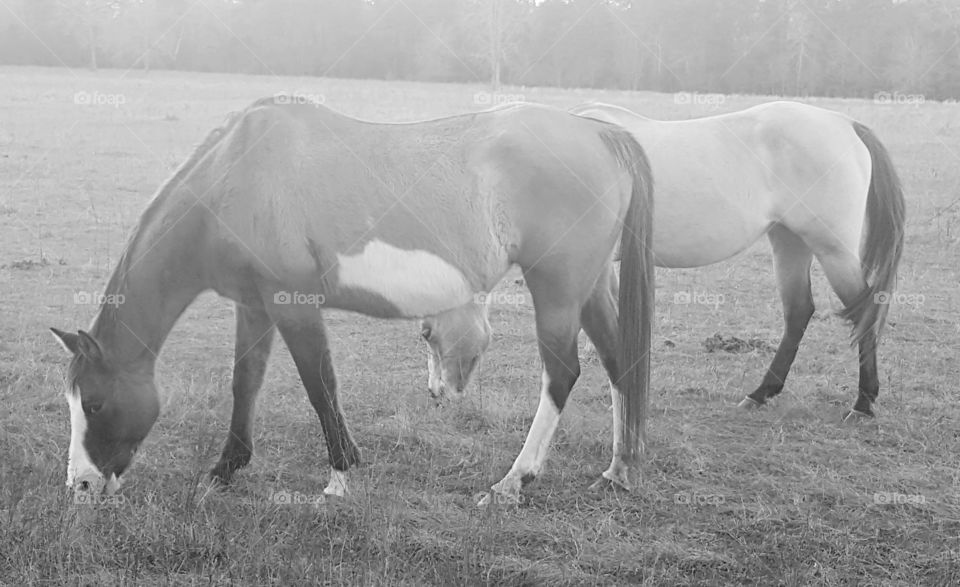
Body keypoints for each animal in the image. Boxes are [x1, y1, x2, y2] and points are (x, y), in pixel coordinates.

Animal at [50, 97, 656, 506]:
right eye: (72, 401)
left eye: (95, 405)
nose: (81, 485)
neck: (235, 175)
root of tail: (601, 134)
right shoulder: (254, 305)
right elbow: (245, 382)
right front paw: (226, 468)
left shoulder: (292, 305)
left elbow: (321, 386)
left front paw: (340, 476)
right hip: (589, 289)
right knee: (618, 363)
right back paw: (619, 471)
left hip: (556, 291)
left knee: (563, 373)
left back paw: (513, 480)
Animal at [424, 101, 904, 422]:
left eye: (427, 333)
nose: (436, 393)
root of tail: (846, 123)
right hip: (790, 241)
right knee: (799, 312)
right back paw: (762, 392)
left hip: (832, 248)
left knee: (865, 309)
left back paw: (863, 402)